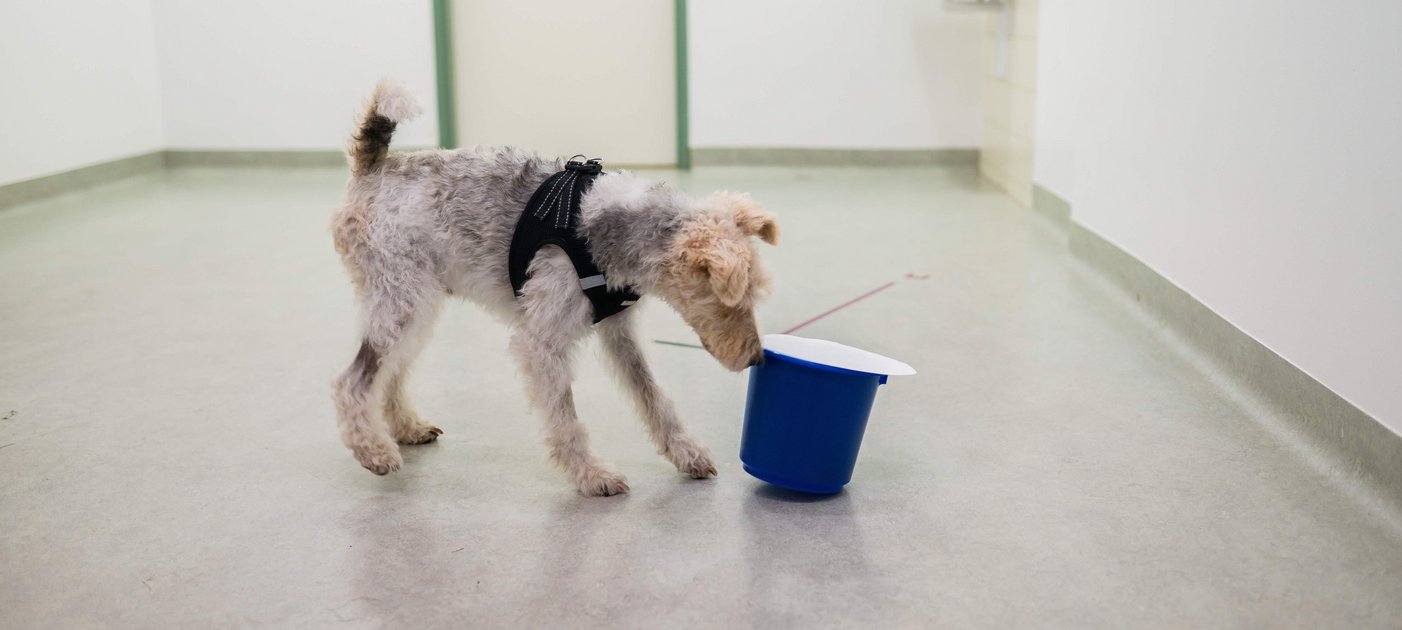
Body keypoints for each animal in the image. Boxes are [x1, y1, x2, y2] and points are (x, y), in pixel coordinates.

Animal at [335, 82, 785, 496]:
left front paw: (687, 453)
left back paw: (406, 428)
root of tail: (373, 166)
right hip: (402, 303)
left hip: (415, 307)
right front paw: (592, 475)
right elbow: (566, 418)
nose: (756, 358)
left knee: (390, 374)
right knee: (352, 382)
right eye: (730, 300)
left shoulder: (619, 332)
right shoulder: (542, 343)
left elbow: (654, 398)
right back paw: (373, 450)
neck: (608, 228)